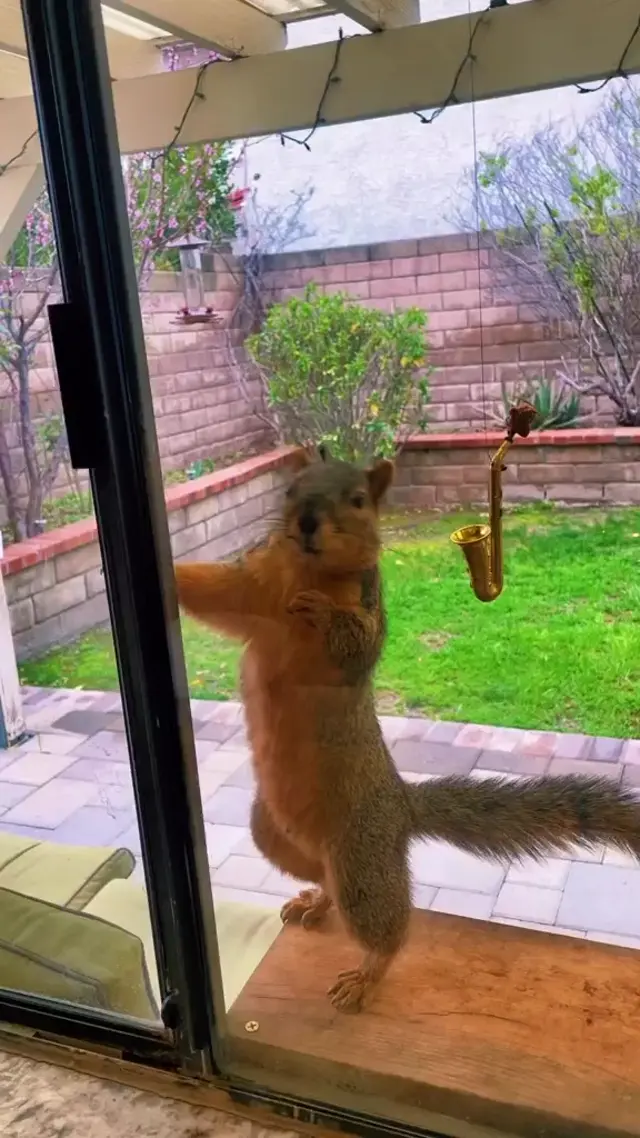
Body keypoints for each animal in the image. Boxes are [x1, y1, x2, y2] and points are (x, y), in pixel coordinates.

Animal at [175, 446, 640, 1014]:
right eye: (290, 489)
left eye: (357, 500)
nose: (305, 521)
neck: (307, 569)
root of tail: (400, 804)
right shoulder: (255, 587)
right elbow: (219, 591)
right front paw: (166, 573)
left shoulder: (365, 610)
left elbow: (356, 640)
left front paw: (322, 611)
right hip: (274, 836)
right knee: (324, 878)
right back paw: (316, 900)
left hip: (360, 855)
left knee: (383, 922)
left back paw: (368, 972)